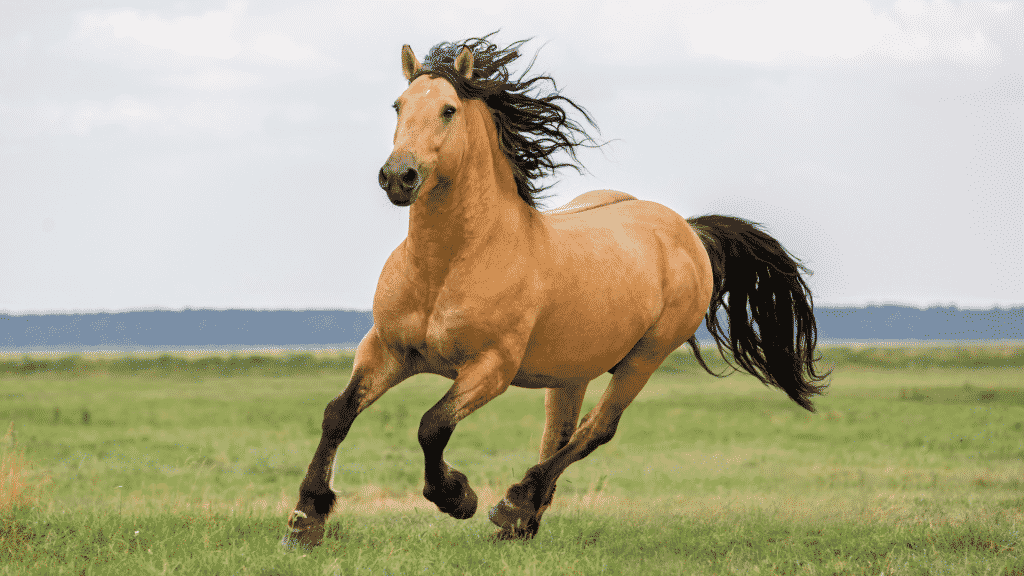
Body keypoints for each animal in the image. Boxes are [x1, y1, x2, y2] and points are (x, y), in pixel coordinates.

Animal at [284, 35, 827, 545]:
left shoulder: (491, 367)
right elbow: (337, 413)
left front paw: (458, 497)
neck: (448, 265)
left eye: (448, 109)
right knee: (559, 434)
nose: (399, 176)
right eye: (398, 106)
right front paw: (306, 518)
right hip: (572, 372)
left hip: (645, 357)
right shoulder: (387, 349)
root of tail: (687, 231)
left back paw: (514, 506)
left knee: (595, 431)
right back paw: (522, 522)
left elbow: (432, 425)